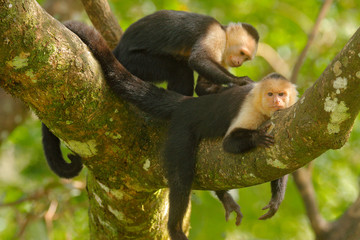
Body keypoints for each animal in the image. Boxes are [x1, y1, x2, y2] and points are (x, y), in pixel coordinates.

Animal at [46, 22, 296, 240]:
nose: (276, 102)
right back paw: (174, 227)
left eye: (281, 95)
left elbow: (281, 159)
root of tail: (187, 104)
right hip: (181, 129)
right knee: (181, 176)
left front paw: (277, 198)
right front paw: (256, 134)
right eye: (270, 94)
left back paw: (223, 197)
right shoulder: (251, 108)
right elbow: (230, 143)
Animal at [112, 9, 258, 95]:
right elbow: (199, 60)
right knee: (179, 70)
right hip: (133, 60)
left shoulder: (223, 59)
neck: (224, 34)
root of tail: (119, 47)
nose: (239, 63)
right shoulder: (216, 35)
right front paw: (240, 81)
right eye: (242, 53)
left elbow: (202, 87)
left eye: (246, 58)